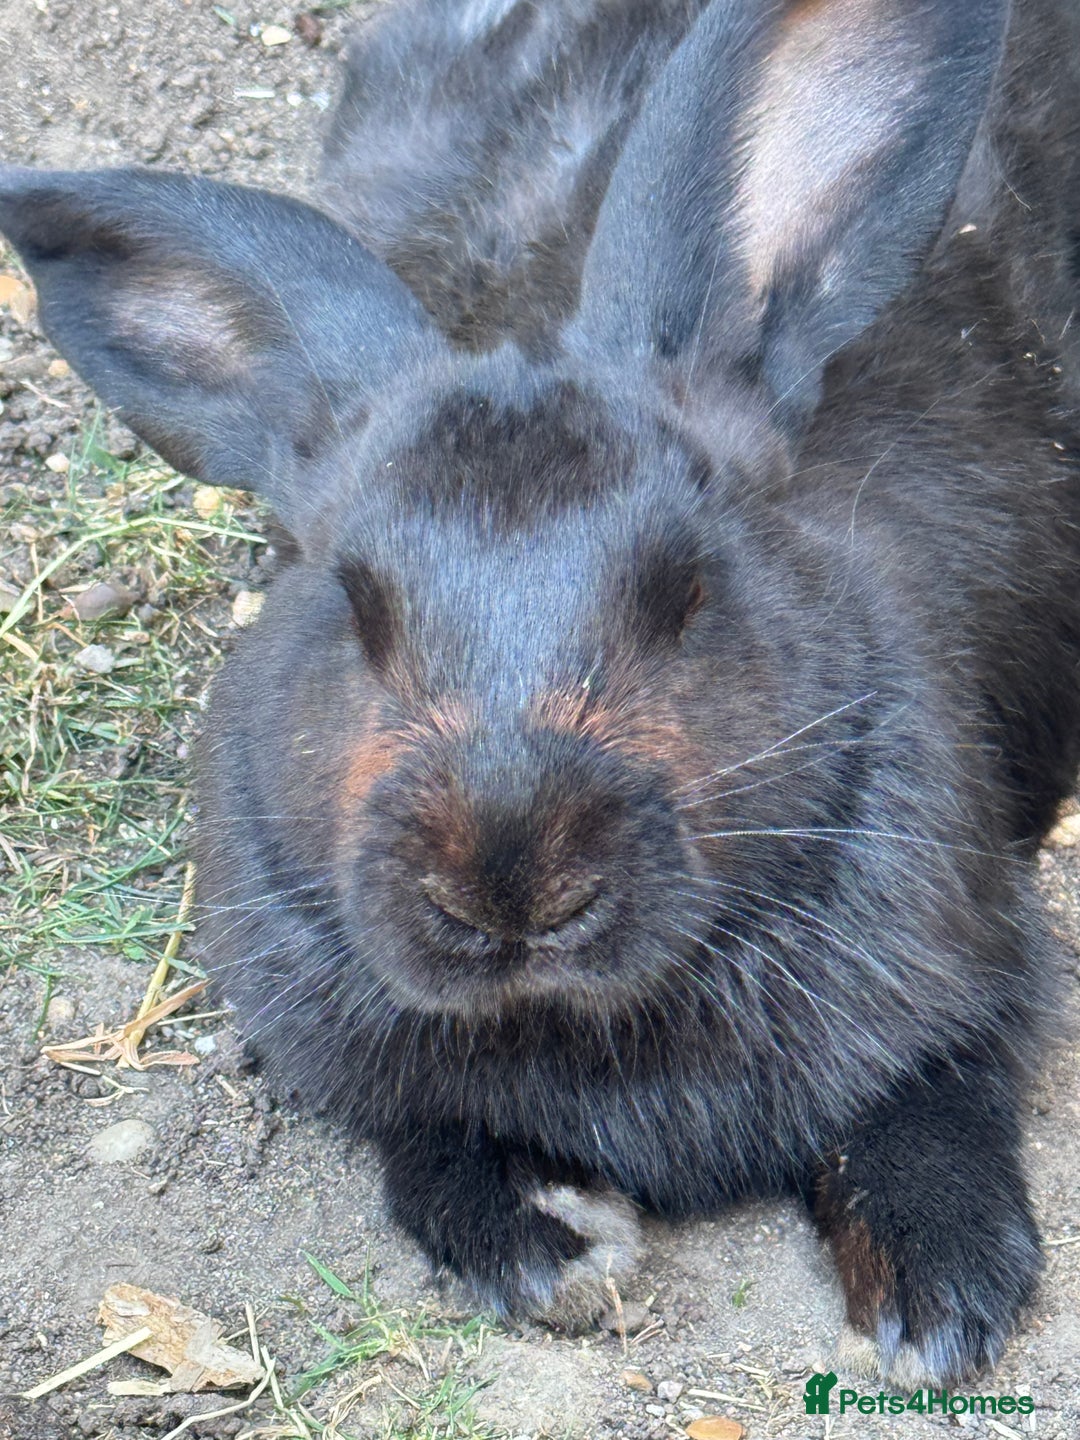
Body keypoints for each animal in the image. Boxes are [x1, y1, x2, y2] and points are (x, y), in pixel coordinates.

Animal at [4, 0, 1080, 1389]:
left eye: (684, 587)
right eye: (358, 605)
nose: (509, 882)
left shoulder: (970, 961)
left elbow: (931, 1104)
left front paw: (939, 1308)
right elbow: (428, 1140)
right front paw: (561, 1247)